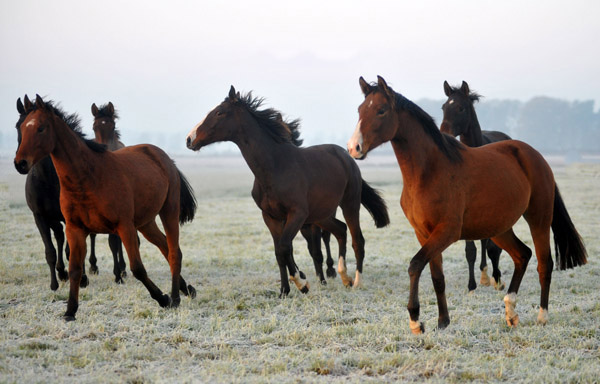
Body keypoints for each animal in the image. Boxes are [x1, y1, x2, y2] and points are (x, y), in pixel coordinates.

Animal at [14, 94, 198, 320]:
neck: (89, 177)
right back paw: (186, 288)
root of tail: (163, 156)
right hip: (145, 223)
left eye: (41, 128)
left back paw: (175, 297)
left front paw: (162, 298)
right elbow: (75, 268)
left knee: (173, 251)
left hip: (168, 210)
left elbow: (137, 268)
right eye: (21, 127)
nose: (20, 163)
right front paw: (70, 310)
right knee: (165, 246)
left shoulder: (124, 226)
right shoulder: (74, 228)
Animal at [185, 86, 390, 296]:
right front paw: (284, 290)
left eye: (219, 112)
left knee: (357, 239)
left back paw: (356, 281)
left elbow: (285, 247)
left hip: (349, 204)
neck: (275, 167)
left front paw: (302, 284)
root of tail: (347, 156)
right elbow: (279, 252)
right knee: (340, 230)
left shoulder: (297, 214)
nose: (189, 139)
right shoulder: (271, 217)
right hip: (321, 214)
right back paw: (344, 276)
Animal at [438, 81, 512, 292]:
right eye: (443, 107)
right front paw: (472, 285)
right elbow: (470, 249)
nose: (444, 133)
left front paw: (496, 279)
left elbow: (492, 246)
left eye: (461, 108)